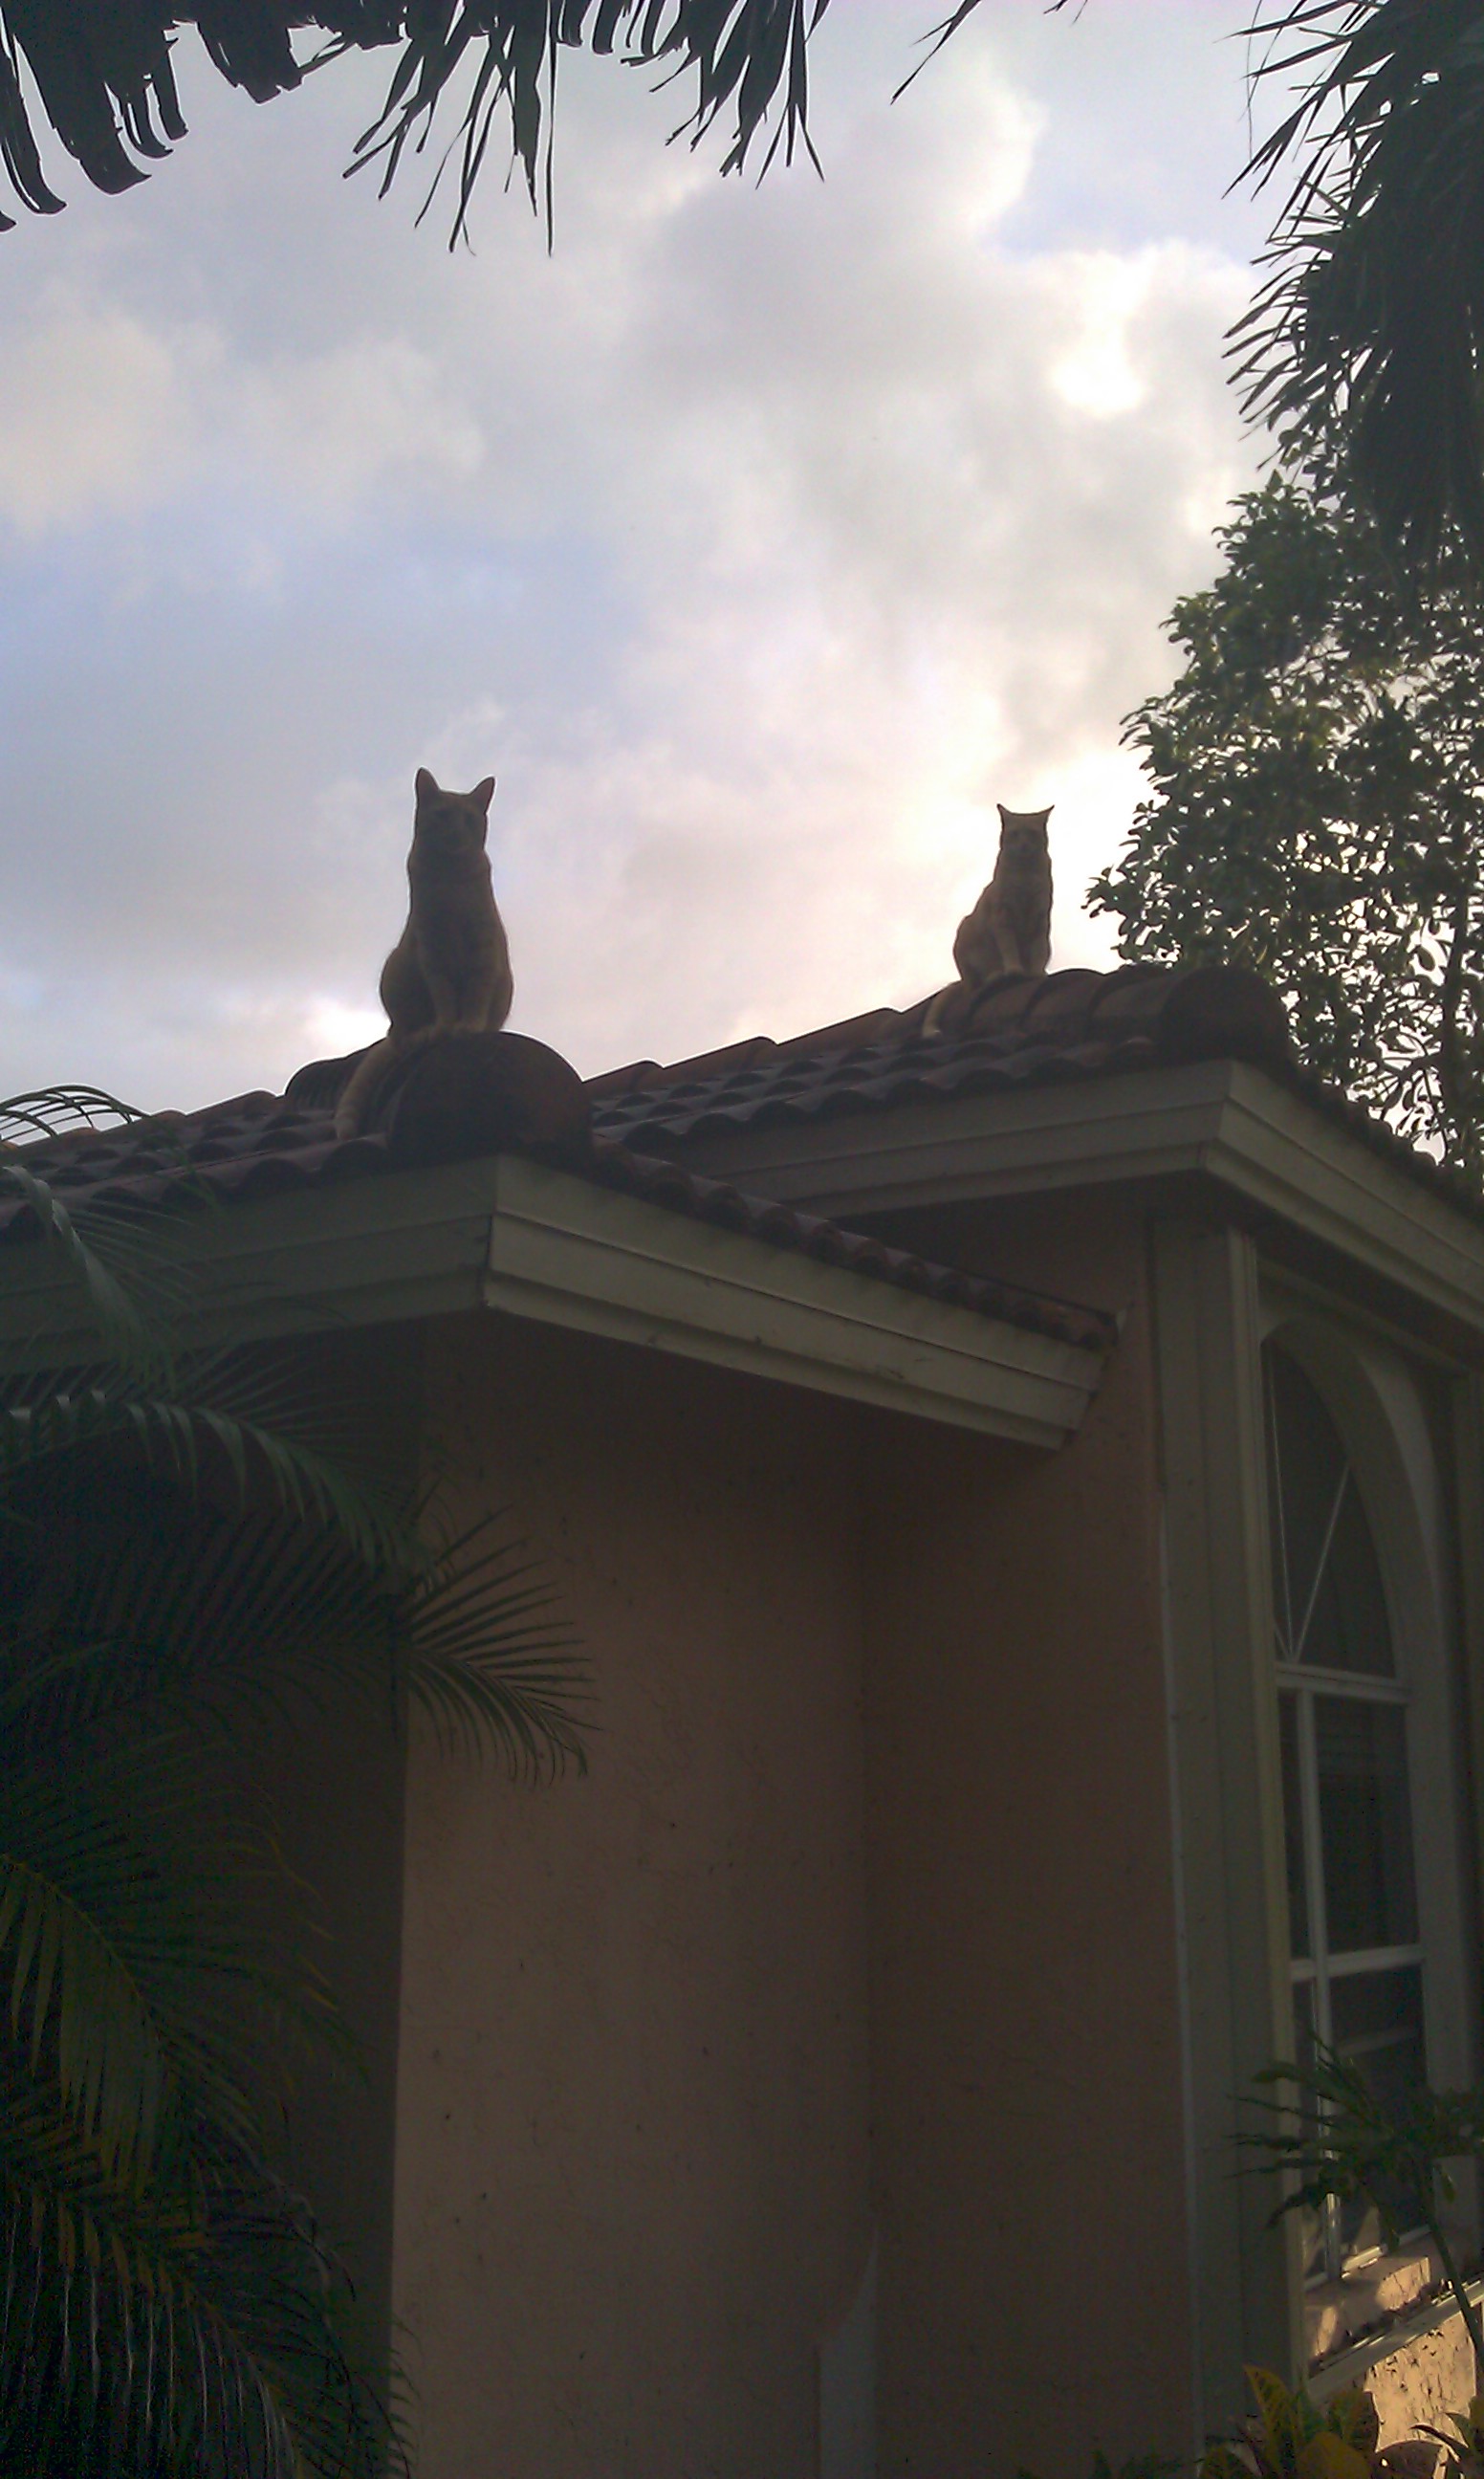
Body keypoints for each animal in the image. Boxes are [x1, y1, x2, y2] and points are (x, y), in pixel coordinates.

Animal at [334, 768, 514, 1139]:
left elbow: (474, 996)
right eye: (442, 815)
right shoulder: (431, 952)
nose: (456, 831)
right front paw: (444, 1027)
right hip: (395, 972)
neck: (450, 880)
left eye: (468, 818)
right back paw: (419, 1035)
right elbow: (444, 998)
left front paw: (469, 1026)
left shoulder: (483, 951)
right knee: (398, 1033)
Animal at [924, 804, 1053, 1032]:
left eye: (1031, 833)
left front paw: (1036, 973)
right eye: (1015, 834)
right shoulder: (1003, 919)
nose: (1023, 845)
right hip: (965, 932)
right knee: (978, 981)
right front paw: (1014, 970)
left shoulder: (1041, 920)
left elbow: (1037, 951)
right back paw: (996, 974)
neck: (1025, 876)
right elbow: (1010, 949)